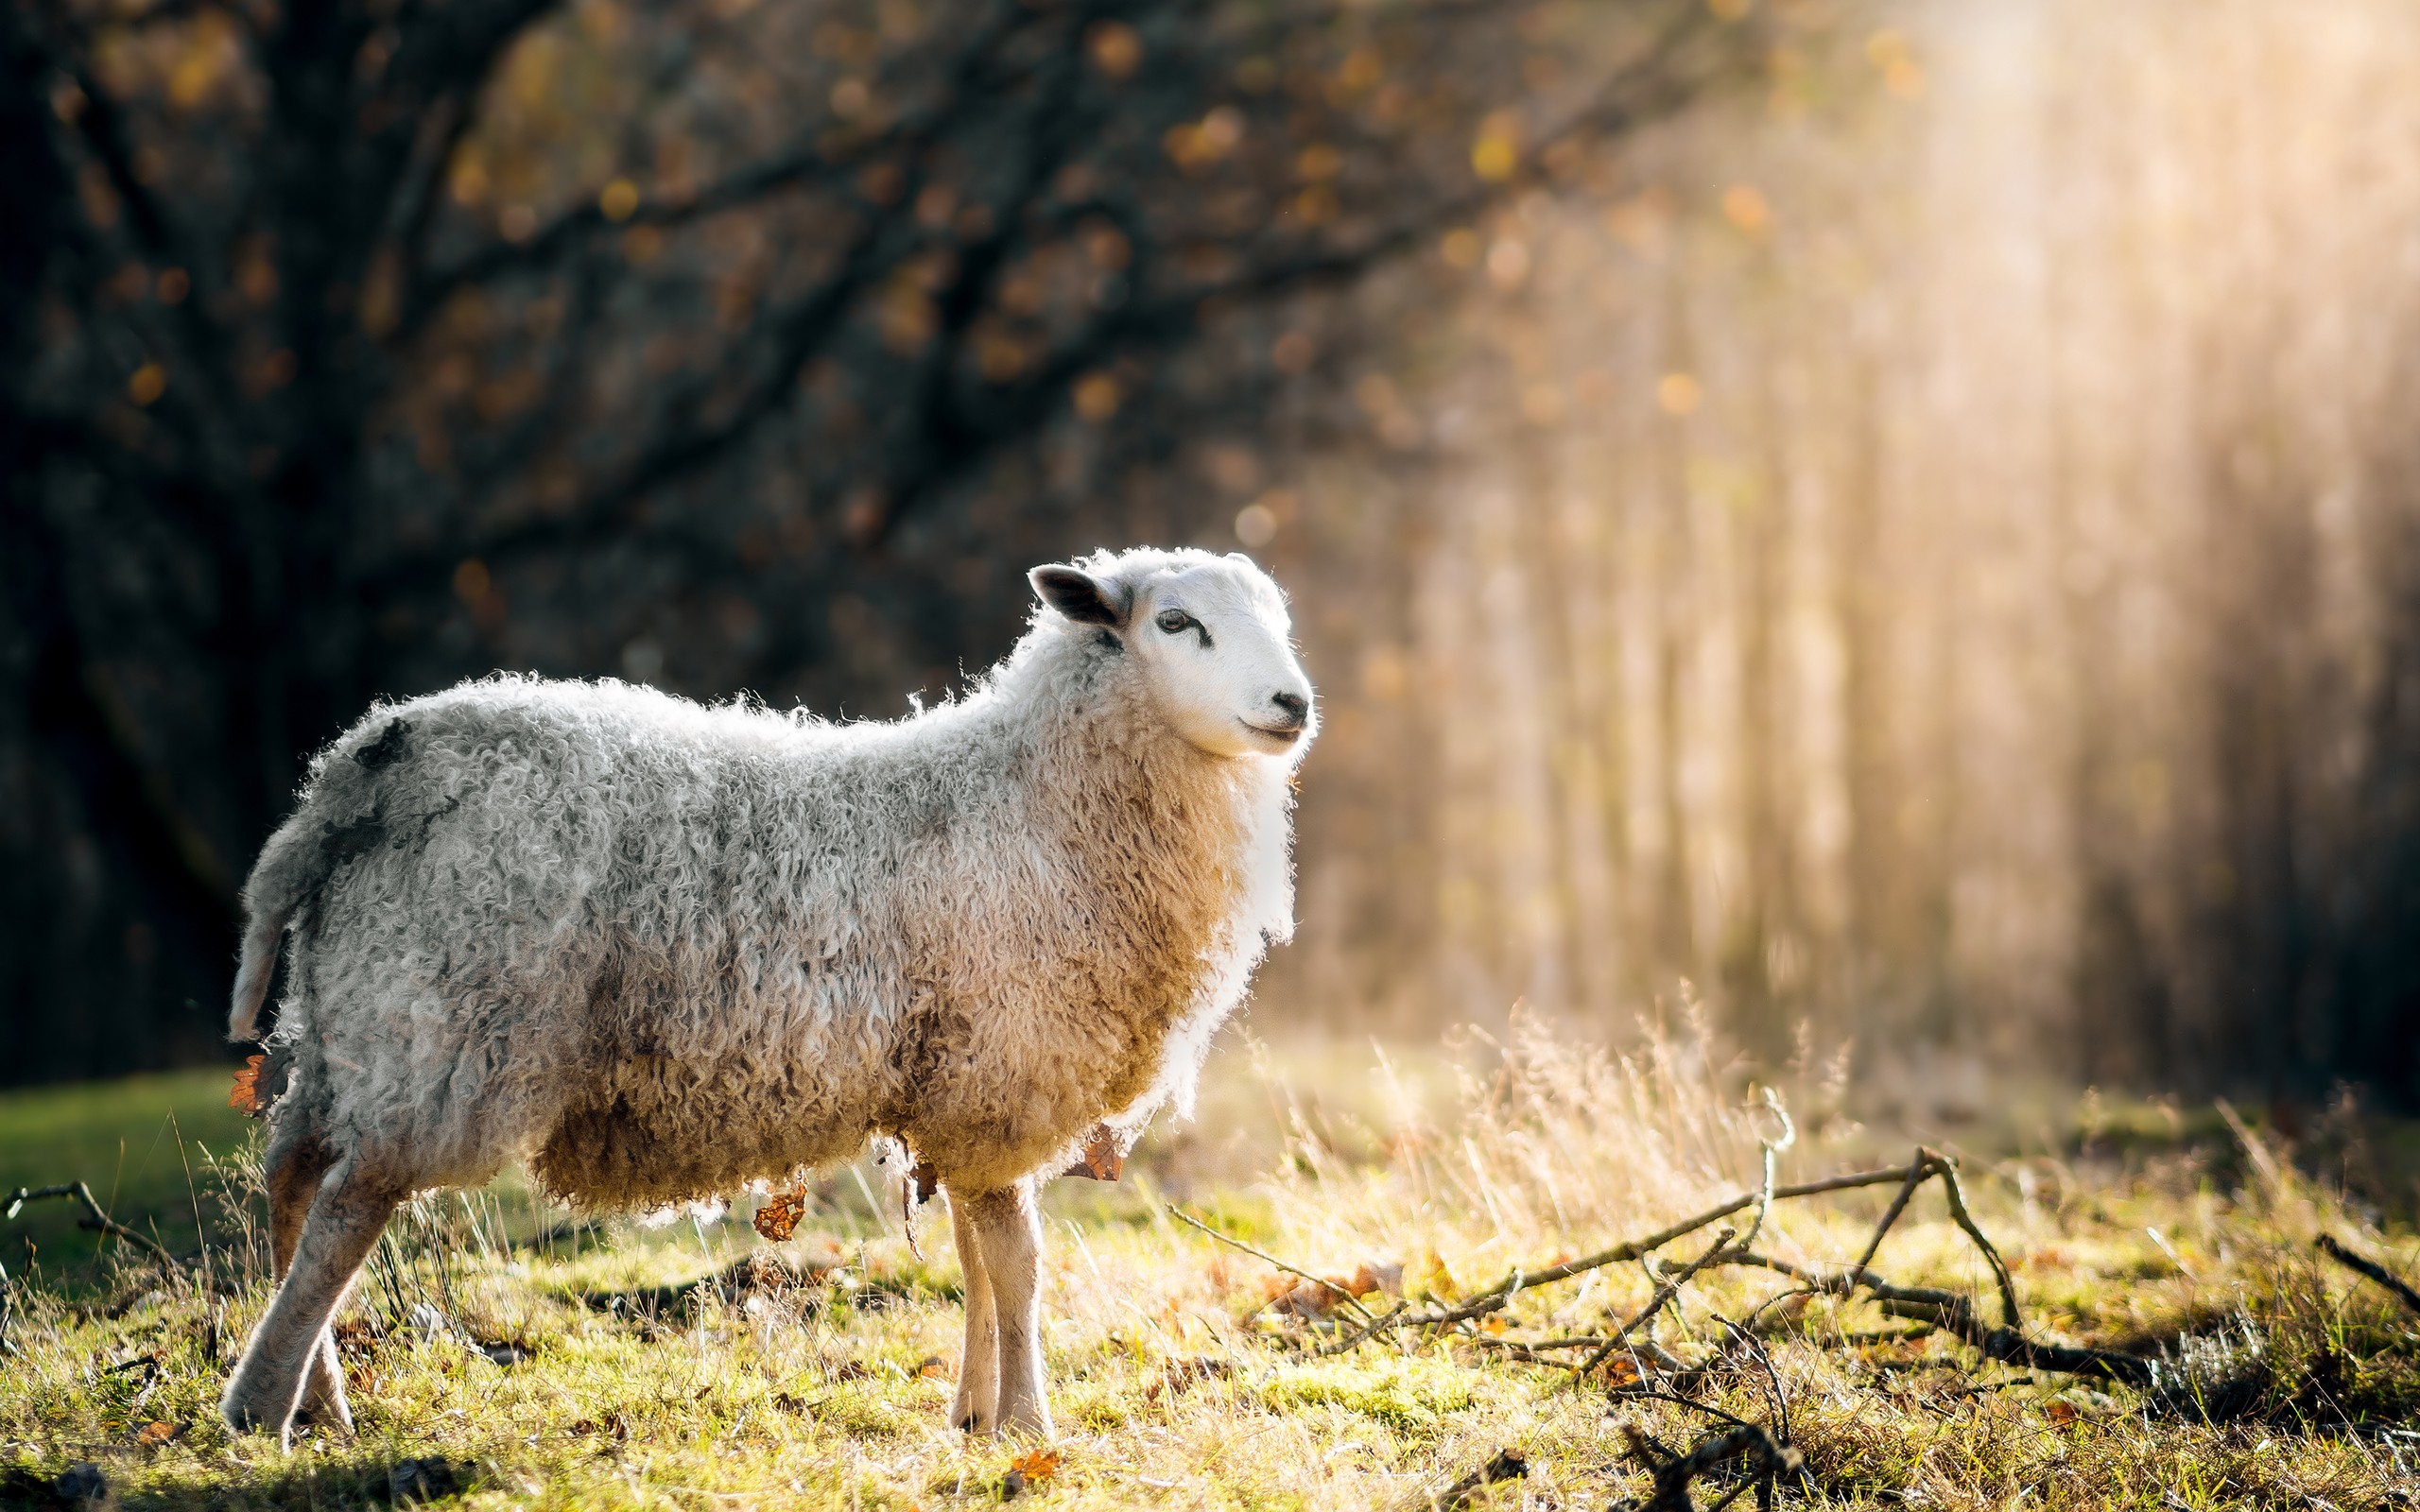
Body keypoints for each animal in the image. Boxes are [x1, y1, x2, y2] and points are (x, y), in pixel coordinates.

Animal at [222, 541, 1325, 1441]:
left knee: (291, 1177)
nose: (1293, 706)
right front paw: (1028, 1423)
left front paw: (973, 1415)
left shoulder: (956, 1092)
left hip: (359, 1012)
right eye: (1175, 624)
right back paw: (263, 1406)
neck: (1035, 796)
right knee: (348, 1207)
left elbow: (974, 1255)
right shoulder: (999, 1073)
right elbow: (1017, 1263)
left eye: (1278, 614)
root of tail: (357, 771)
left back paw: (319, 1405)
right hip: (447, 1019)